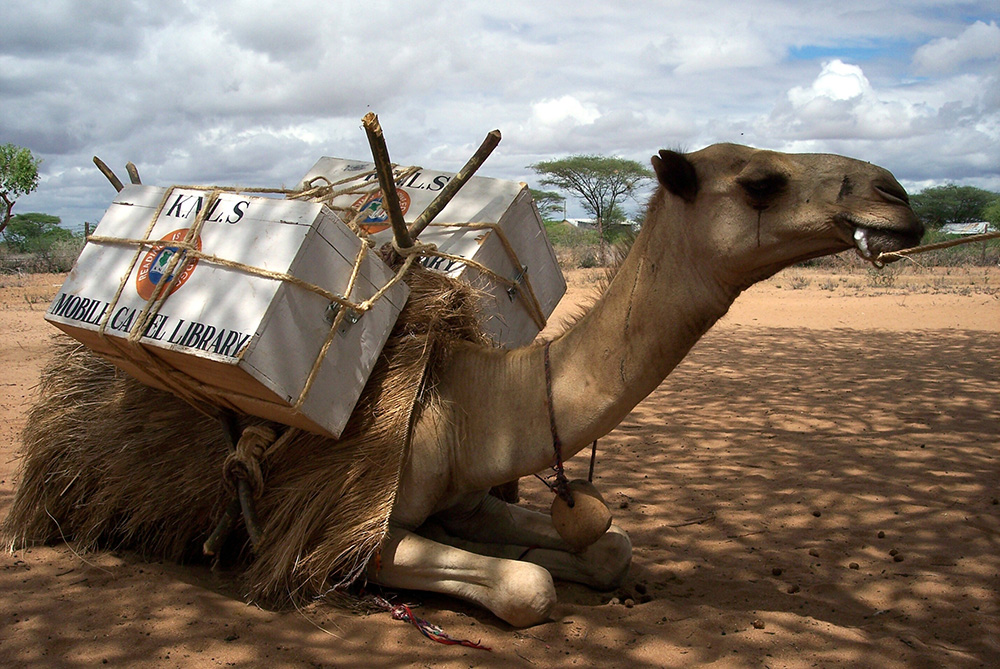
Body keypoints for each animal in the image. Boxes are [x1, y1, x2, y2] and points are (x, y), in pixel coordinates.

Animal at [3, 144, 920, 628]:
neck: (471, 399)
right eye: (760, 181)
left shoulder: (468, 493)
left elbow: (606, 545)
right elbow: (526, 585)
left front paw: (586, 553)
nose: (898, 196)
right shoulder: (344, 526)